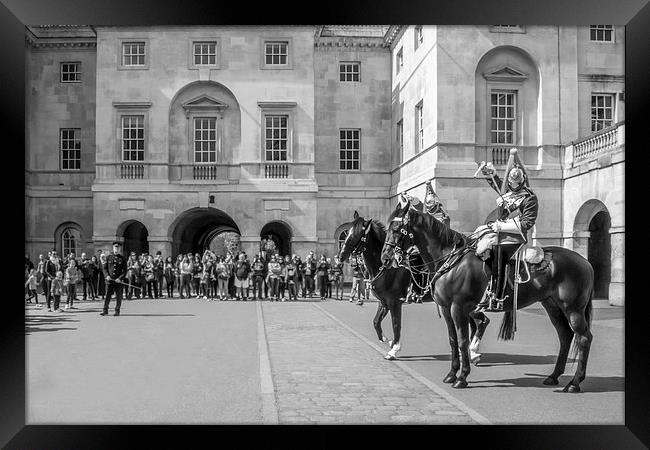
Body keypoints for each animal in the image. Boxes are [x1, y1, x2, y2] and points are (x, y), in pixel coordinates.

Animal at [336, 211, 488, 362]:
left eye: (356, 234)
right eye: (346, 233)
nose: (340, 256)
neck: (386, 268)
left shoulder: (394, 302)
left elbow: (396, 324)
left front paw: (394, 349)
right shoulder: (384, 302)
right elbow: (376, 322)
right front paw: (387, 340)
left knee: (482, 321)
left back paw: (473, 351)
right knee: (477, 323)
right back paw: (472, 352)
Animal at [380, 202, 592, 392]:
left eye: (396, 228)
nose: (385, 258)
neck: (451, 260)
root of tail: (584, 261)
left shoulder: (459, 308)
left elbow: (463, 340)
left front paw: (462, 377)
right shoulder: (446, 308)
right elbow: (452, 340)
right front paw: (451, 374)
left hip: (573, 308)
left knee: (583, 338)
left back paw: (574, 383)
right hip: (552, 305)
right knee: (565, 335)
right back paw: (554, 376)